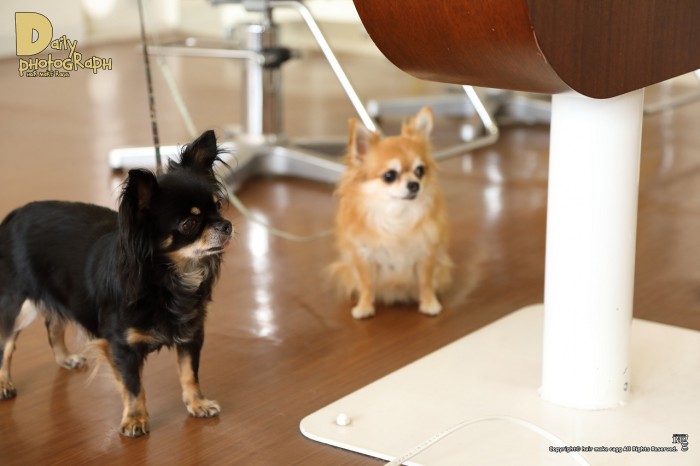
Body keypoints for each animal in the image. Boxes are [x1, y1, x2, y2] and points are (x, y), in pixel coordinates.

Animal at [0, 130, 232, 437]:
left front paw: (197, 403)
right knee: (6, 344)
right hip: (18, 305)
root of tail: (14, 214)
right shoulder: (122, 346)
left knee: (54, 323)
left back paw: (65, 358)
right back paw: (4, 383)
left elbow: (189, 373)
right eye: (188, 224)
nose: (227, 225)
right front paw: (135, 419)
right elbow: (134, 386)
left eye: (217, 206)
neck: (168, 279)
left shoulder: (191, 334)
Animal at [331, 107, 452, 319]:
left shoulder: (427, 254)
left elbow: (426, 282)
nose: (414, 185)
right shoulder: (364, 257)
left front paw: (429, 304)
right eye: (389, 176)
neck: (397, 214)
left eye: (420, 171)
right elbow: (366, 284)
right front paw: (364, 307)